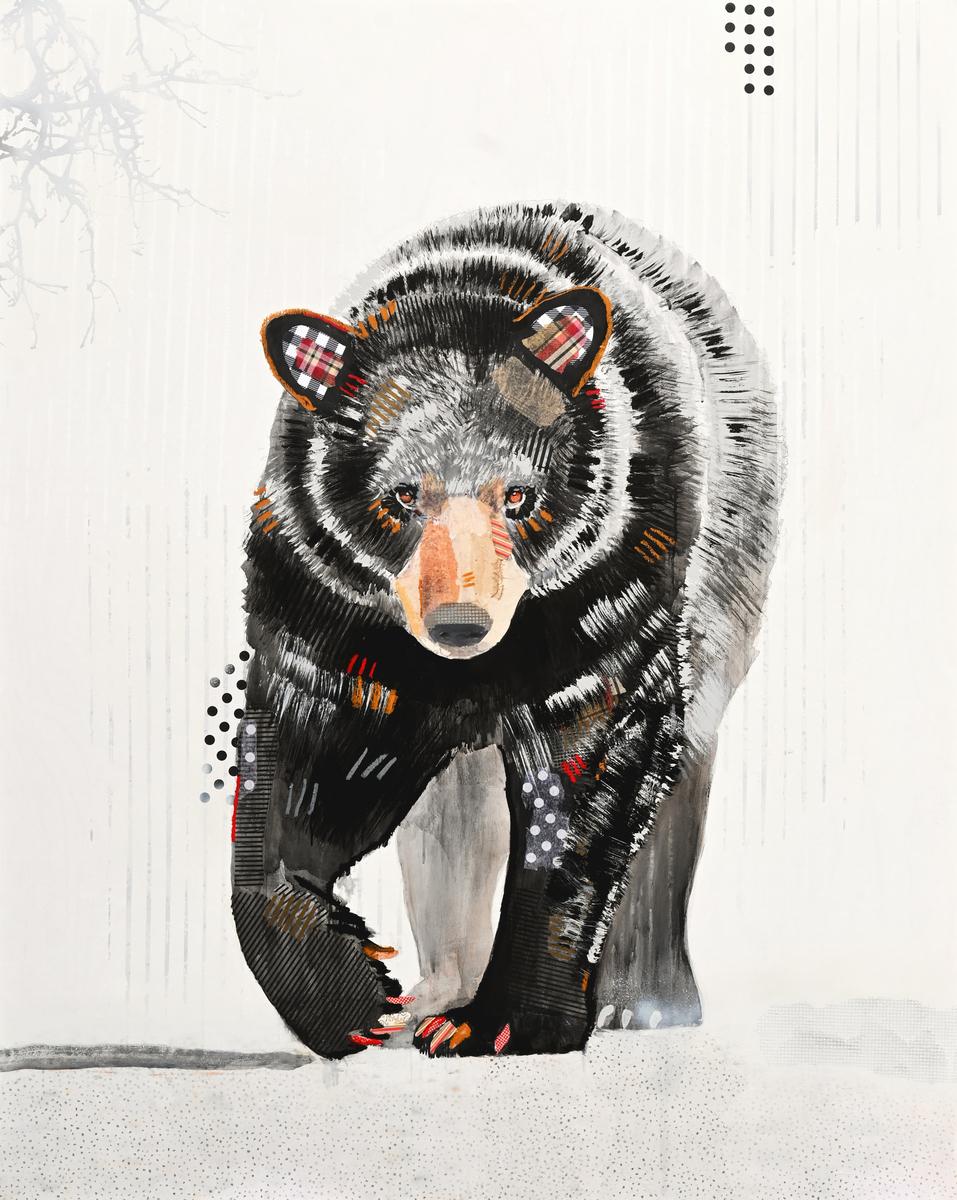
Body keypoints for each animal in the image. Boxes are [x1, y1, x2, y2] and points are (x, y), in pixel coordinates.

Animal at [231, 201, 781, 1059]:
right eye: (402, 495)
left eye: (519, 496)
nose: (461, 622)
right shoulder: (334, 610)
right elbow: (310, 770)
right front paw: (355, 998)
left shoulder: (602, 603)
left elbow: (585, 780)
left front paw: (506, 1022)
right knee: (454, 825)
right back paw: (434, 990)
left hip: (728, 578)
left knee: (679, 775)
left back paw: (643, 1000)